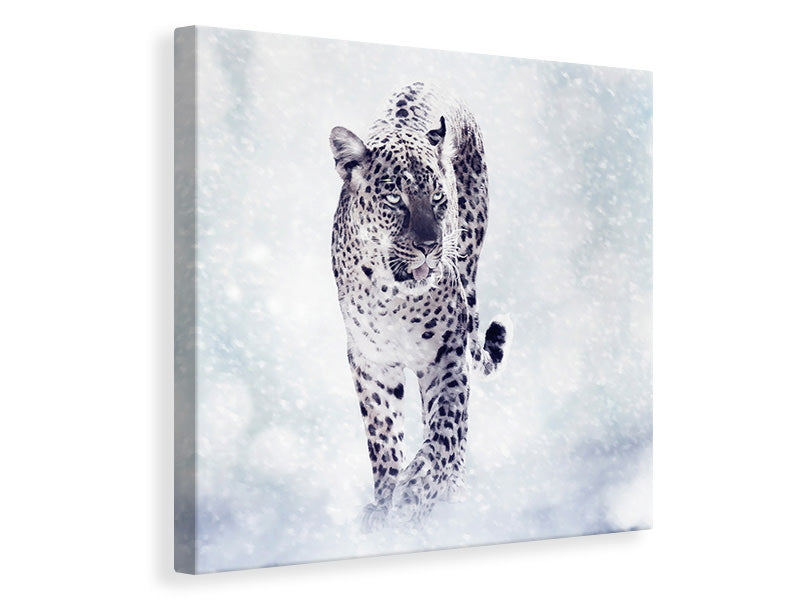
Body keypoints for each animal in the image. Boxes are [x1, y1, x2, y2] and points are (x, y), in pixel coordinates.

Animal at [329, 82, 511, 530]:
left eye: (439, 196)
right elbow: (383, 437)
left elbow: (446, 426)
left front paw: (420, 488)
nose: (431, 245)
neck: (392, 298)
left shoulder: (447, 355)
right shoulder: (371, 362)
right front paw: (385, 502)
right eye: (395, 196)